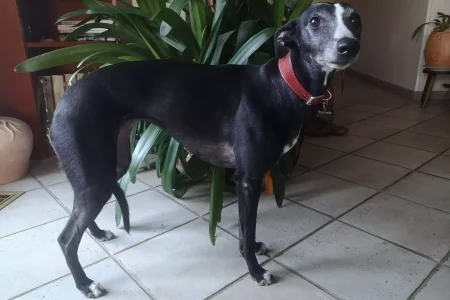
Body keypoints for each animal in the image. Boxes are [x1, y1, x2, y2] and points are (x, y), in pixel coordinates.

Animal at [50, 2, 362, 298]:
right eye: (314, 21)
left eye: (355, 19)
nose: (349, 46)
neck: (284, 85)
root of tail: (63, 100)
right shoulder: (248, 178)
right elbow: (248, 227)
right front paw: (255, 271)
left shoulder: (244, 177)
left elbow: (245, 230)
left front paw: (251, 251)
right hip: (97, 178)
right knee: (66, 239)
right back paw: (85, 284)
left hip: (109, 168)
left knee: (79, 216)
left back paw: (97, 234)